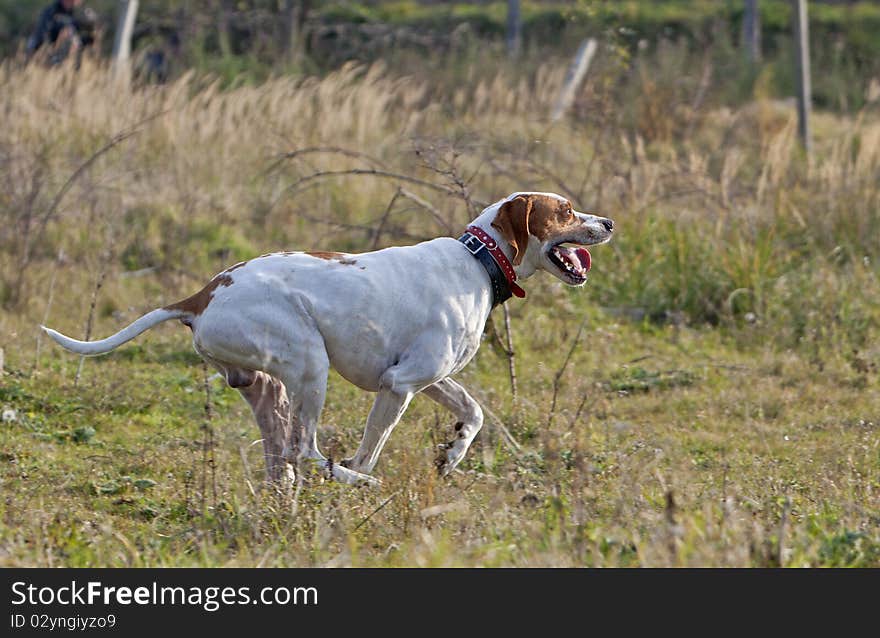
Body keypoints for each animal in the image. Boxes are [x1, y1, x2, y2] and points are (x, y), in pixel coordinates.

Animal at [44, 192, 616, 488]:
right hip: (310, 365)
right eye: (566, 211)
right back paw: (350, 482)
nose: (609, 221)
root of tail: (203, 294)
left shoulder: (431, 379)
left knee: (282, 455)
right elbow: (371, 449)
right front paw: (366, 480)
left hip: (270, 387)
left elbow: (472, 413)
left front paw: (452, 455)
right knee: (305, 449)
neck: (478, 261)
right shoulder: (400, 385)